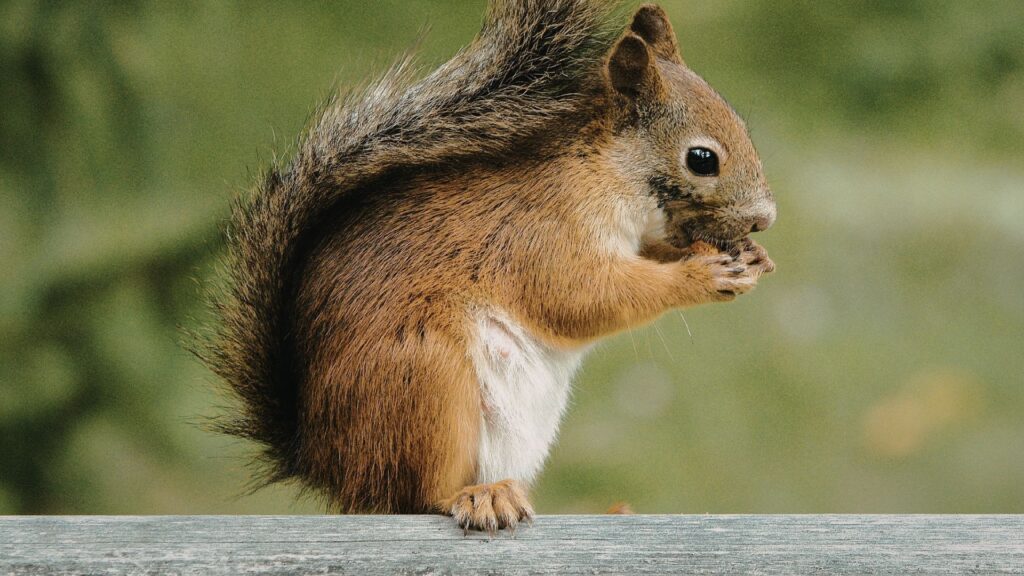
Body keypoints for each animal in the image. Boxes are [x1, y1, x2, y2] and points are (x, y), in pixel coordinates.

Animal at [203, 0, 776, 532]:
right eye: (702, 159)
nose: (765, 219)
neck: (604, 168)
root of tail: (325, 465)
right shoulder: (544, 232)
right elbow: (583, 297)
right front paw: (701, 275)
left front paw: (748, 257)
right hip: (422, 380)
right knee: (415, 496)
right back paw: (479, 498)